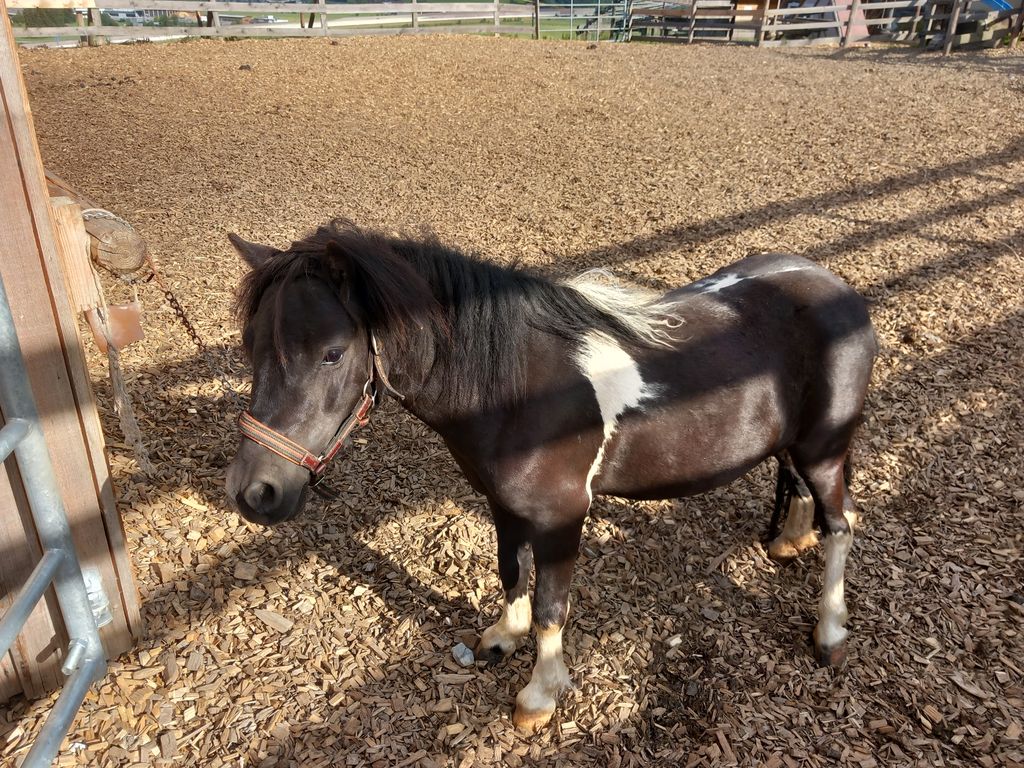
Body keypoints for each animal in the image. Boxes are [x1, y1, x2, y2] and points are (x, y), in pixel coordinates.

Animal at [226, 221, 880, 733]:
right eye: (250, 345)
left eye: (333, 352)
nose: (254, 492)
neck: (521, 388)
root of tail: (837, 289)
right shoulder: (504, 505)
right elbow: (511, 572)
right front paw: (500, 639)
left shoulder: (564, 516)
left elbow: (550, 606)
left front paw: (537, 698)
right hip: (797, 445)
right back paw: (788, 541)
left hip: (825, 450)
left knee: (843, 524)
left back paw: (830, 632)